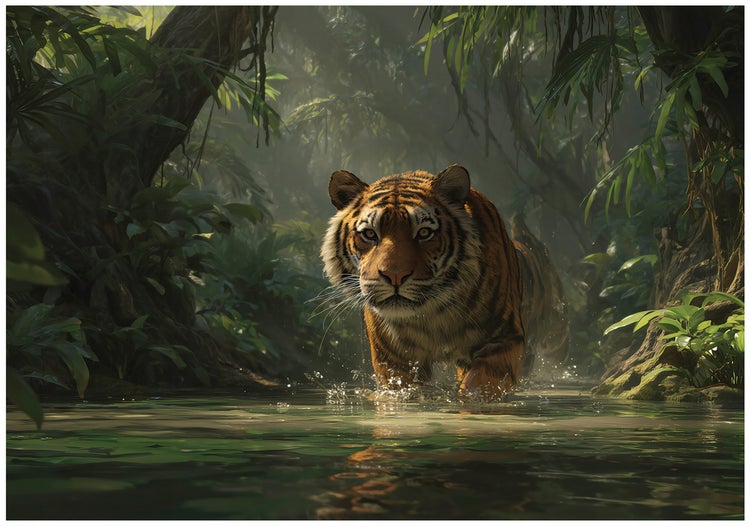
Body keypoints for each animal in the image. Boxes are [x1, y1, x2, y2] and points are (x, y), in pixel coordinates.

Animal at [321, 163, 568, 399]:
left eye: (424, 233)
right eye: (370, 234)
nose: (395, 275)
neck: (431, 316)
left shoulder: (503, 338)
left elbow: (479, 385)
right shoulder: (393, 358)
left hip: (556, 339)